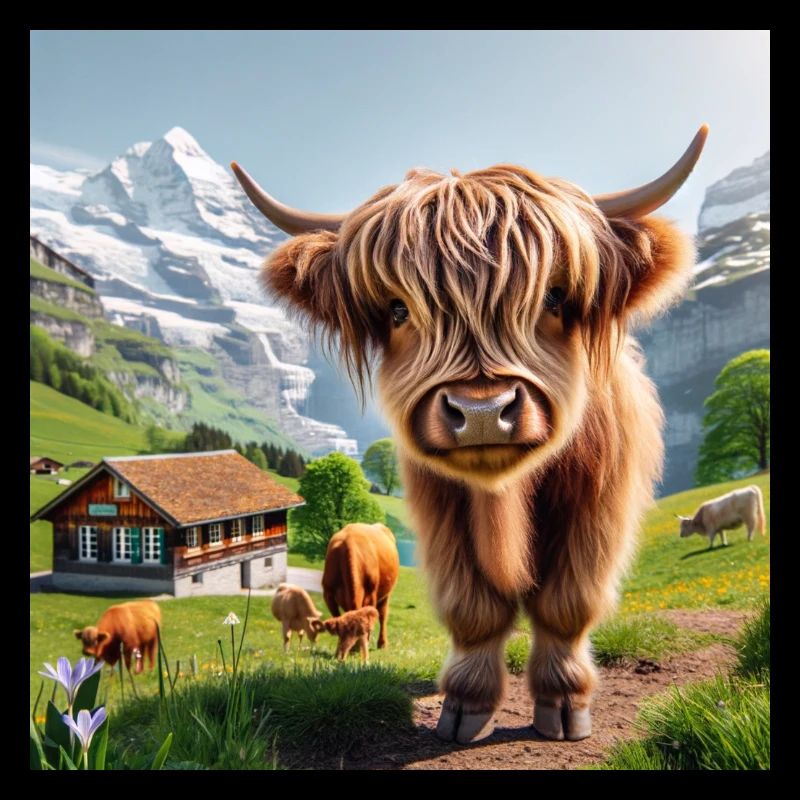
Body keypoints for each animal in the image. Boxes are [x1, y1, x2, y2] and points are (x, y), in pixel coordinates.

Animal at [232, 124, 708, 744]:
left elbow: (567, 601)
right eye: (397, 309)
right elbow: (473, 607)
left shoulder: (597, 501)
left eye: (555, 296)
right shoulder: (440, 507)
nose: (481, 412)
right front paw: (466, 706)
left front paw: (564, 703)